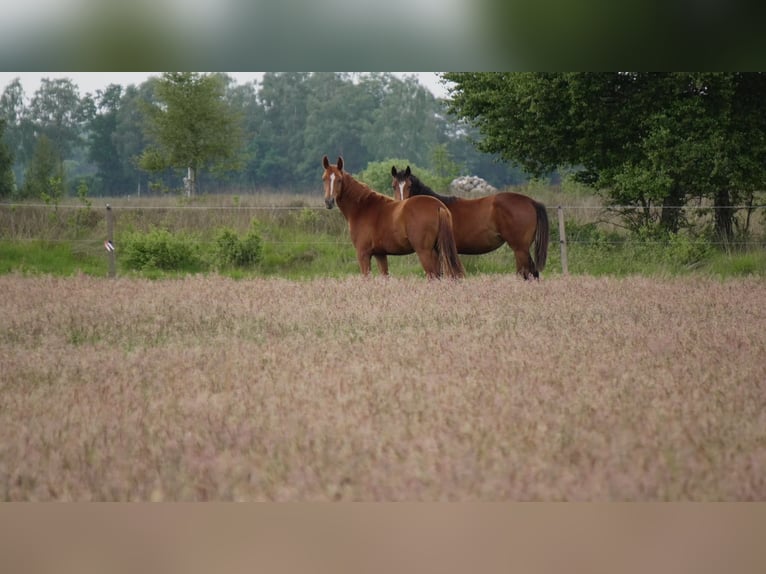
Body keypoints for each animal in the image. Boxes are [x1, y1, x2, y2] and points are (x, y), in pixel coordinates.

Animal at [322, 156, 465, 279]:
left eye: (339, 179)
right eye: (324, 179)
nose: (329, 202)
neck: (363, 207)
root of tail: (438, 205)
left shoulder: (363, 254)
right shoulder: (380, 254)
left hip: (425, 252)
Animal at [391, 166, 549, 279]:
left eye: (409, 185)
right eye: (394, 185)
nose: (400, 205)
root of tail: (531, 202)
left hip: (520, 249)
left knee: (527, 274)